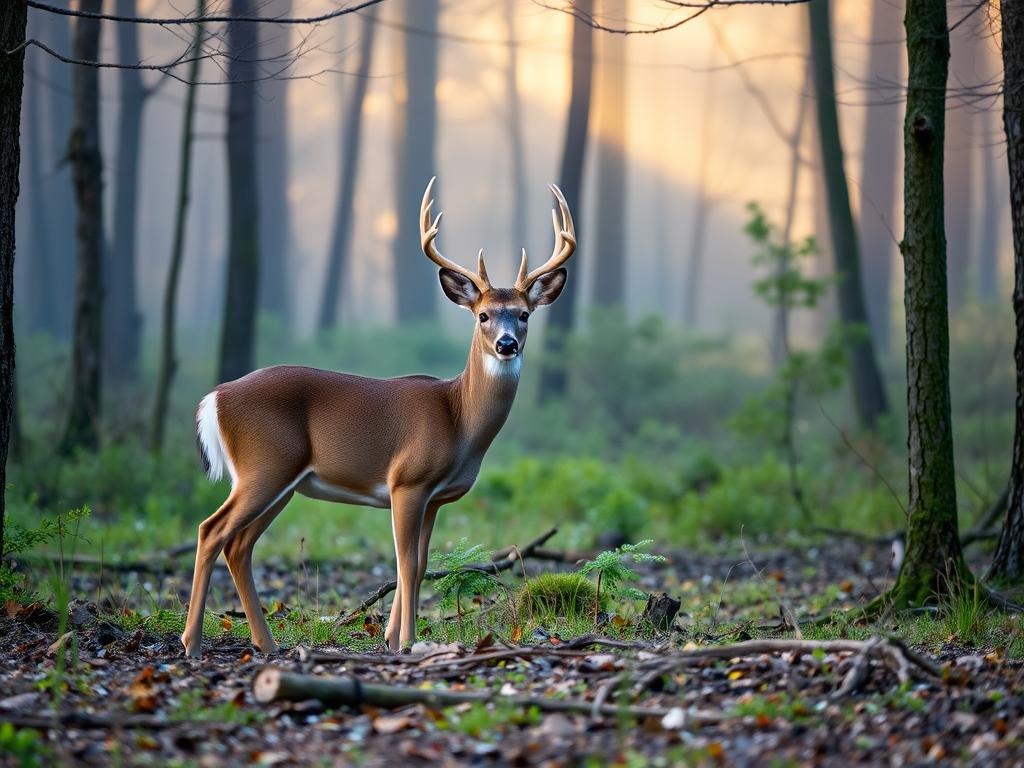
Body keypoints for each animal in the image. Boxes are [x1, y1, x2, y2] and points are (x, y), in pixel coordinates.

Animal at [181, 178, 576, 658]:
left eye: (523, 315)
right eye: (483, 315)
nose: (506, 344)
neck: (459, 419)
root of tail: (213, 398)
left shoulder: (435, 498)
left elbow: (419, 565)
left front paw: (390, 638)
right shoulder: (407, 481)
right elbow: (406, 563)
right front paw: (407, 641)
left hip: (281, 481)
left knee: (238, 545)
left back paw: (267, 644)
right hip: (265, 465)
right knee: (211, 530)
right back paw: (192, 643)